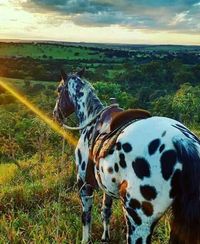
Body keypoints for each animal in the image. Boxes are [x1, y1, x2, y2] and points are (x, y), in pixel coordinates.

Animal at [53, 69, 200, 244]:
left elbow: (86, 217)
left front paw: (86, 240)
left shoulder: (84, 185)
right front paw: (105, 237)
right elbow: (106, 211)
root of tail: (182, 141)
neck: (91, 121)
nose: (55, 114)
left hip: (138, 220)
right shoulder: (106, 186)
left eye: (59, 90)